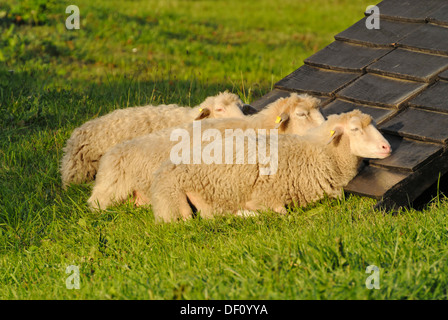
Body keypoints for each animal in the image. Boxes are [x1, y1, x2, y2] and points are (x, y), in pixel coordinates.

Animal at [150, 110, 392, 222]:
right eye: (355, 129)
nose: (386, 146)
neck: (317, 152)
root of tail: (162, 170)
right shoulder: (267, 195)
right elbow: (279, 212)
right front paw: (249, 212)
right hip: (175, 205)